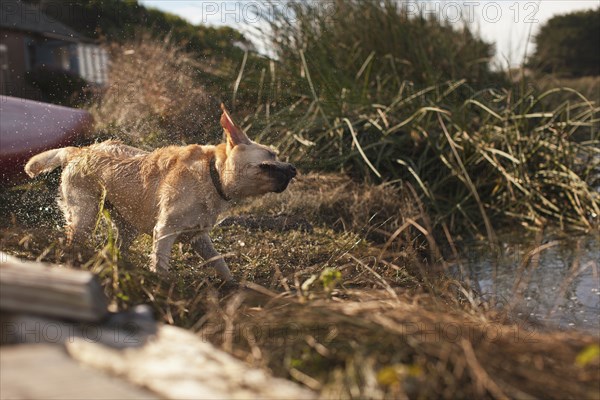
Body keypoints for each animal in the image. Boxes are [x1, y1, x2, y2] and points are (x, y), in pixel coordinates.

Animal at [25, 104, 298, 280]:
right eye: (271, 155)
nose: (294, 169)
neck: (213, 175)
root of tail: (79, 151)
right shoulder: (165, 231)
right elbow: (161, 266)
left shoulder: (199, 237)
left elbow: (219, 262)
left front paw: (235, 287)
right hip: (86, 215)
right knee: (74, 239)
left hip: (127, 226)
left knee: (114, 248)